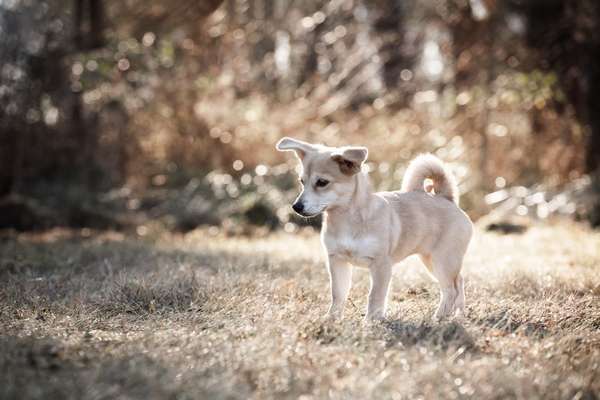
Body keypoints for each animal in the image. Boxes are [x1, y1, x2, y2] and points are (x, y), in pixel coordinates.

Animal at [276, 138, 474, 322]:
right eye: (302, 182)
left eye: (322, 182)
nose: (296, 207)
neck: (347, 220)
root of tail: (446, 198)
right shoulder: (337, 260)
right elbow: (338, 294)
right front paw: (332, 319)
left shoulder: (381, 265)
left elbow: (375, 296)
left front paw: (370, 322)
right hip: (432, 260)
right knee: (459, 282)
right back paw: (458, 315)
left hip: (443, 261)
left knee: (450, 289)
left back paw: (439, 317)